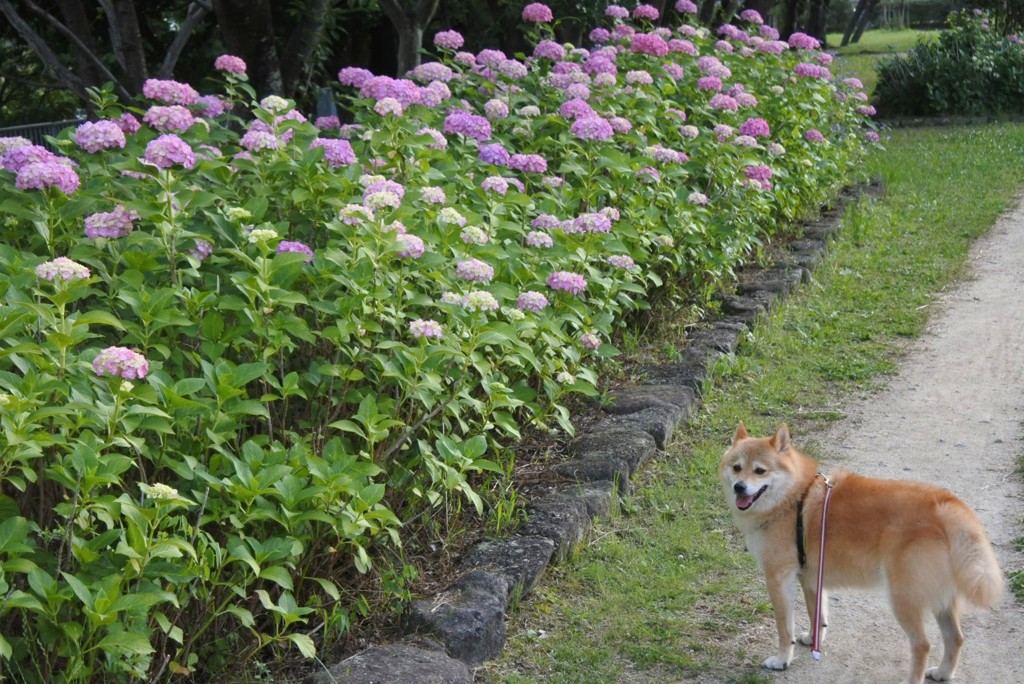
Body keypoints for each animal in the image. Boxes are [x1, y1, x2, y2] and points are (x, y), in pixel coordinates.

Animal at [724, 421, 1003, 684]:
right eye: (736, 467)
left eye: (760, 470)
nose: (739, 487)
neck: (794, 497)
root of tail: (946, 505)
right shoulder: (812, 579)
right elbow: (817, 615)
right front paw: (813, 639)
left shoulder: (779, 579)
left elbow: (784, 629)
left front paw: (783, 659)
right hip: (941, 601)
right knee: (955, 638)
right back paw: (944, 672)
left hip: (904, 599)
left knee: (923, 645)